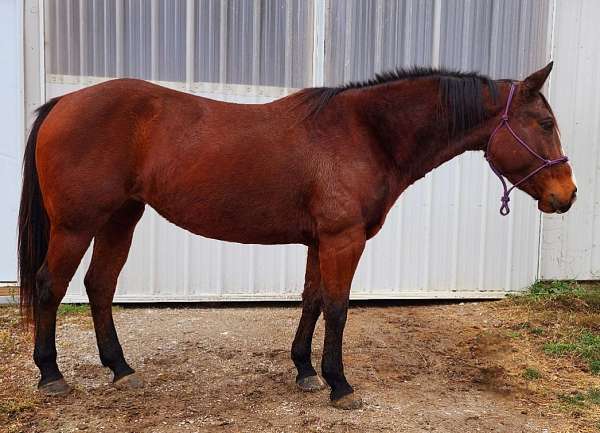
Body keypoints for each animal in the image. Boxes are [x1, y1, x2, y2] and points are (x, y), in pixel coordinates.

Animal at [18, 61, 576, 408]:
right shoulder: (343, 240)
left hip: (121, 218)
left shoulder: (318, 242)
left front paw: (306, 371)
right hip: (76, 225)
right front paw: (339, 383)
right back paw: (51, 375)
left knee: (100, 286)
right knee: (51, 286)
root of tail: (63, 101)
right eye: (545, 123)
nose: (567, 195)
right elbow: (338, 307)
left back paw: (120, 368)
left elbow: (311, 301)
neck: (366, 132)